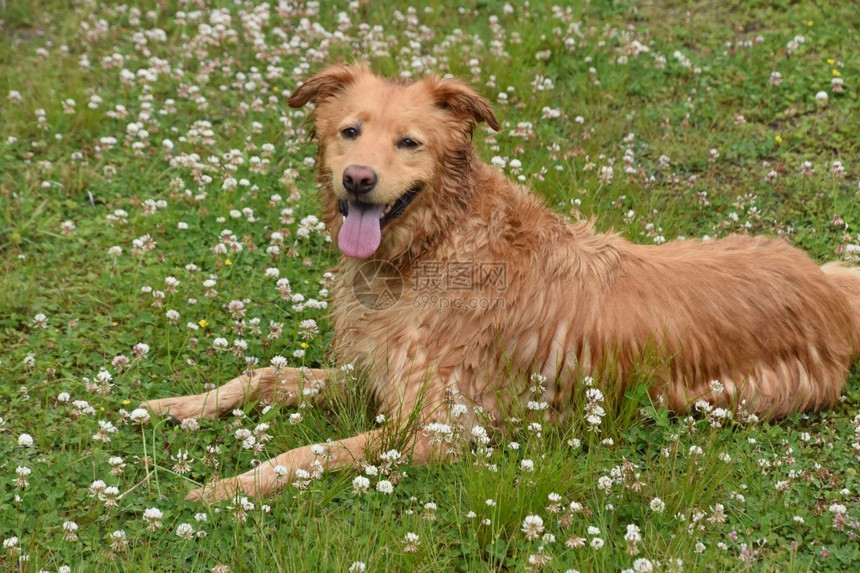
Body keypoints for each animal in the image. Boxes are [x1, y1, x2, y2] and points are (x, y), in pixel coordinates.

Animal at [143, 63, 860, 500]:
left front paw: (229, 486)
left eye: (410, 142)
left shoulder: (437, 429)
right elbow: (264, 376)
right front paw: (174, 406)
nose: (357, 179)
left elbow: (305, 452)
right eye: (349, 131)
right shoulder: (373, 376)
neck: (433, 246)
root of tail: (827, 287)